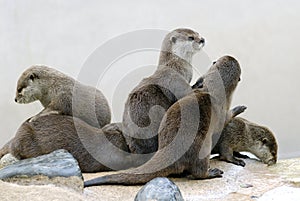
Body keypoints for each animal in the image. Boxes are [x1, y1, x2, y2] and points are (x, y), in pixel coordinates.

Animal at [84, 55, 244, 187]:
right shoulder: (222, 112)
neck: (211, 91)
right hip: (203, 145)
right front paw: (239, 108)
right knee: (198, 171)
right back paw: (212, 172)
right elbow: (226, 118)